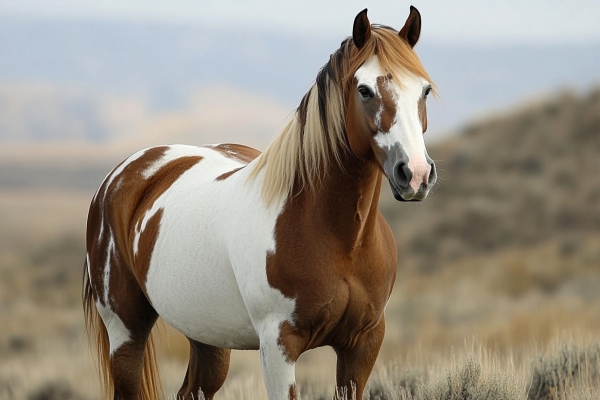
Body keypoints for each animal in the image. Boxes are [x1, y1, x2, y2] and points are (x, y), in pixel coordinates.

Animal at [83, 6, 436, 400]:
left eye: (424, 89)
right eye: (365, 90)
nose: (416, 173)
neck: (342, 241)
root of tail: (123, 174)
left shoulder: (363, 344)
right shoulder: (279, 346)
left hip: (207, 336)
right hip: (125, 329)